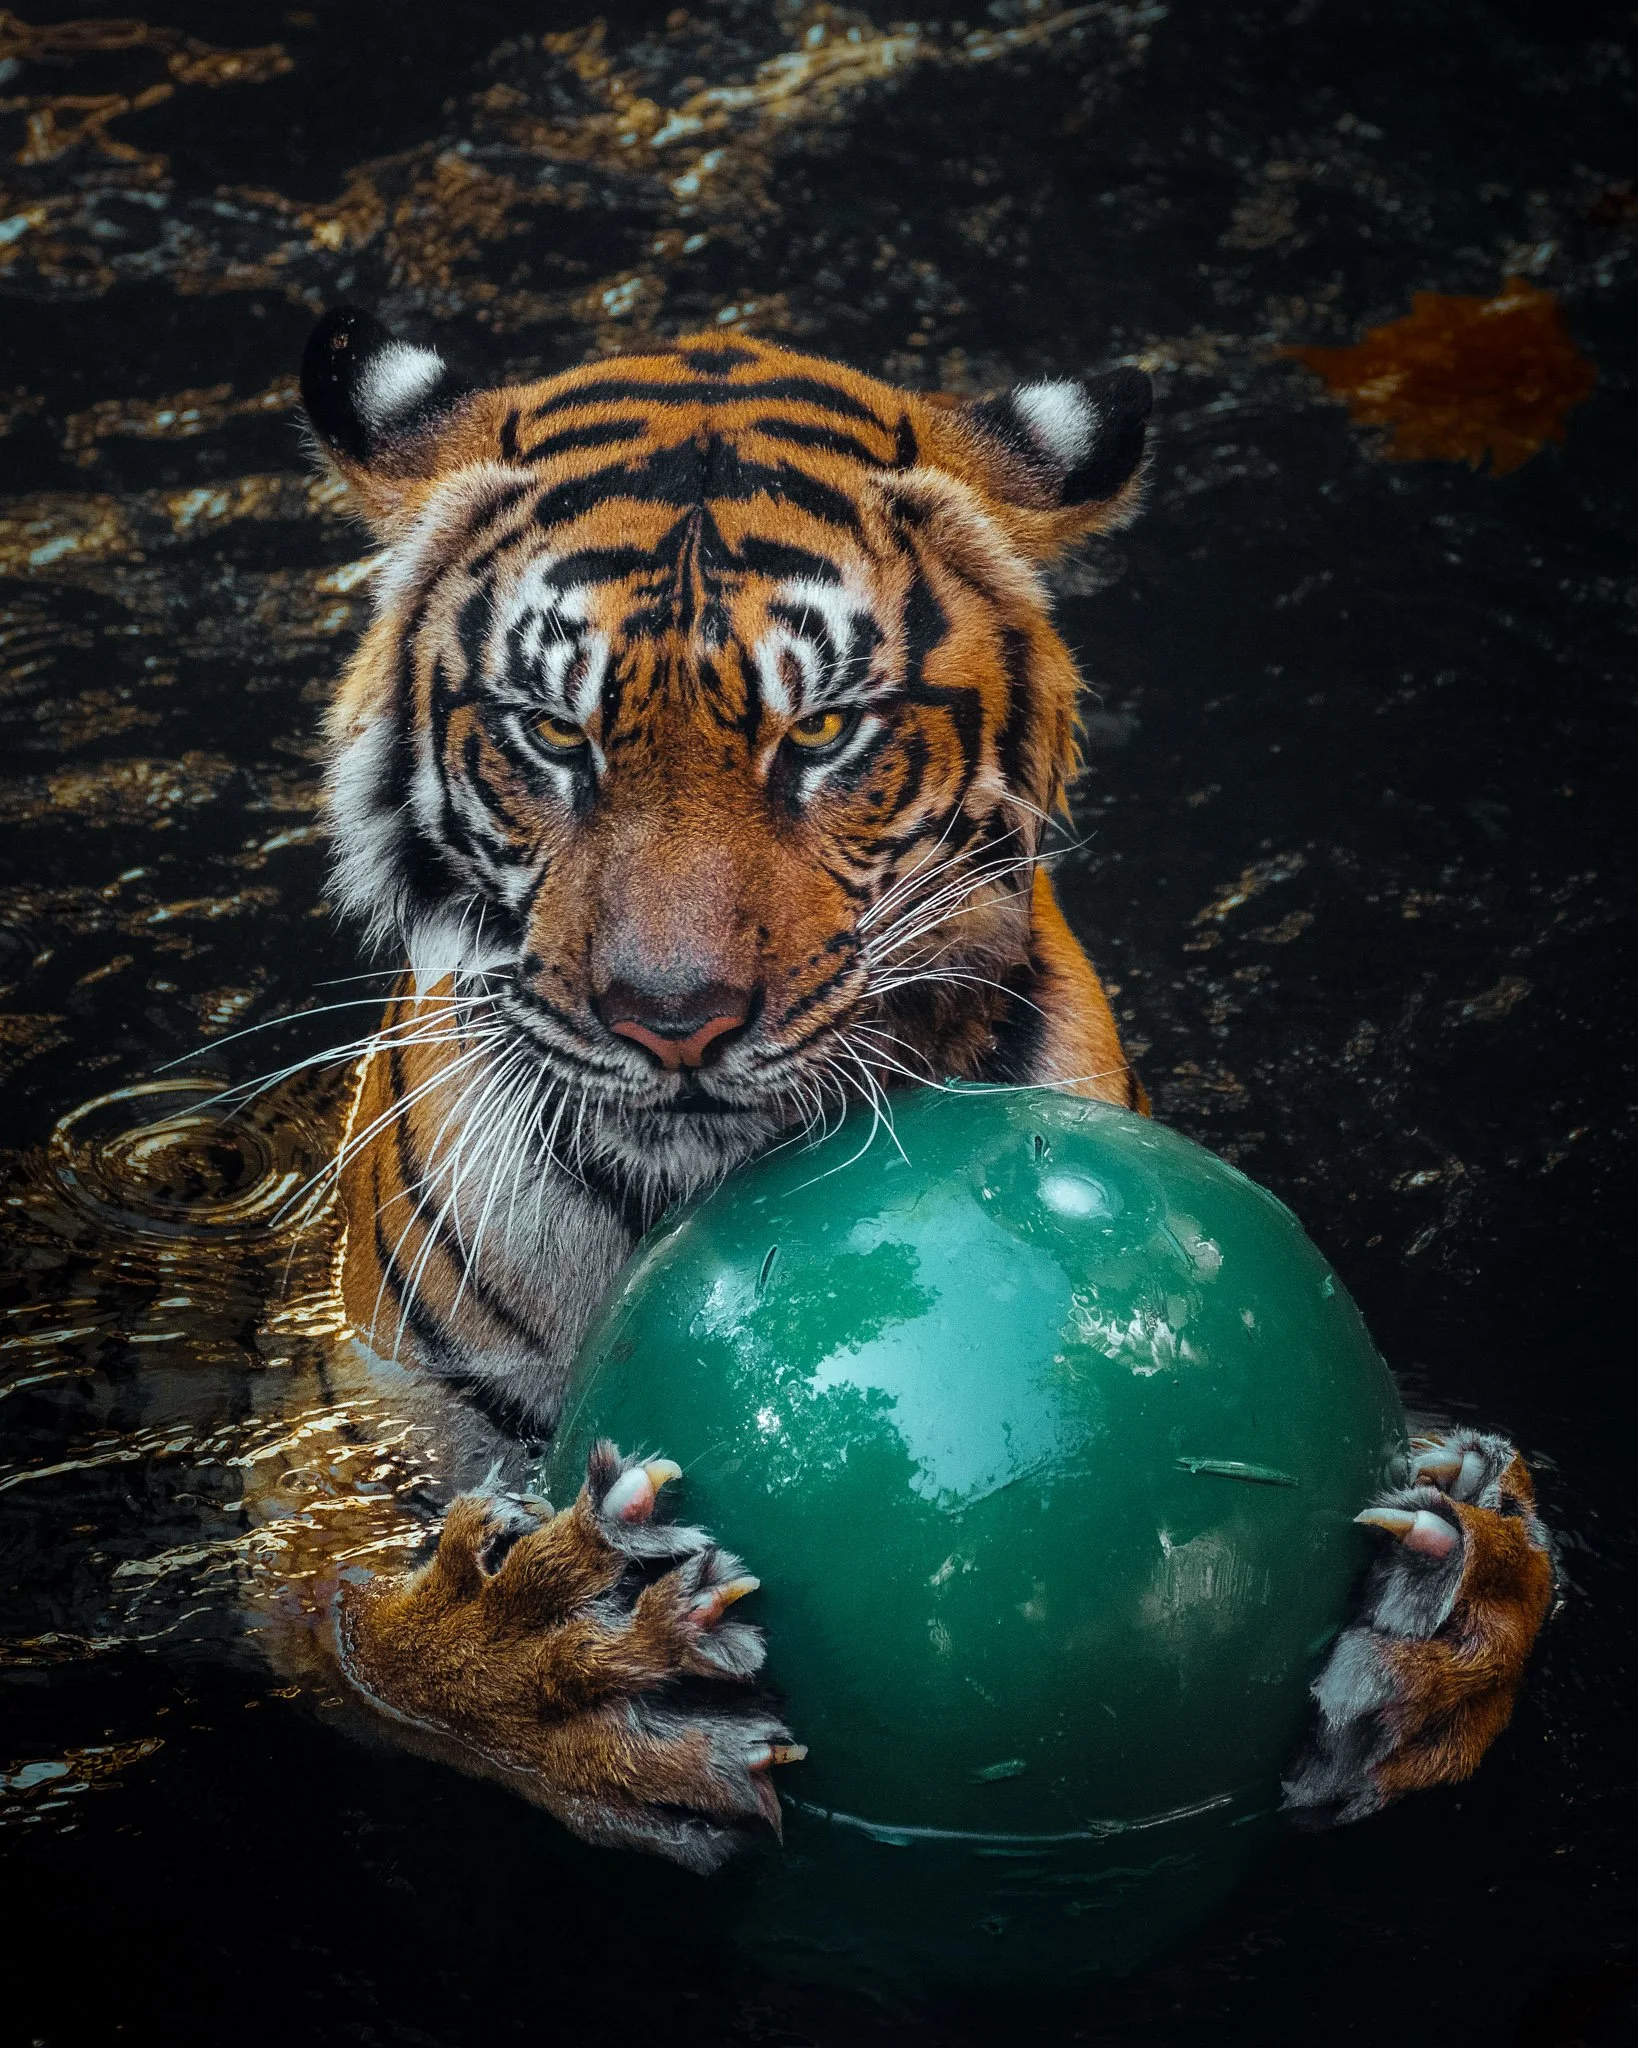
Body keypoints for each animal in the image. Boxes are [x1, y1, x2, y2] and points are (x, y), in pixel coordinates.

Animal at [281, 307, 1554, 1870]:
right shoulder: (335, 1454)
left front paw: (1460, 1599)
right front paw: (557, 1661)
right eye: (555, 736)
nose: (673, 1020)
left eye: (823, 735)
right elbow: (364, 1629)